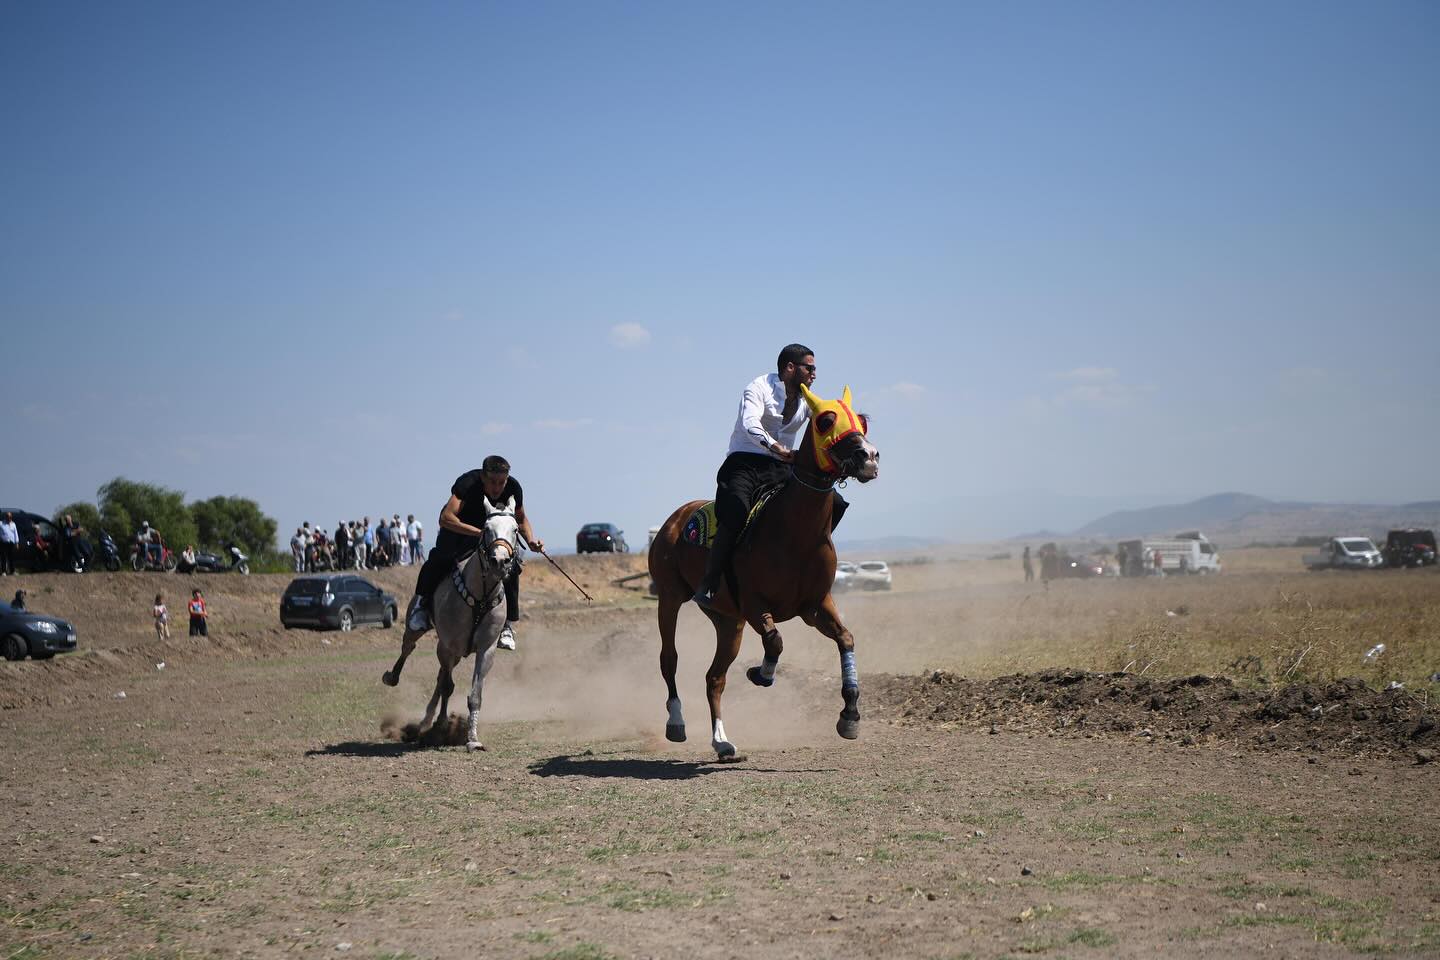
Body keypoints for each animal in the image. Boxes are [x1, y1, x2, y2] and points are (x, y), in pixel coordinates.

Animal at [650, 382, 875, 759]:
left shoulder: (814, 606)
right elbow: (776, 640)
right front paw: (761, 673)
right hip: (669, 598)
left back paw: (722, 741)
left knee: (715, 677)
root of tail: (677, 518)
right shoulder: (756, 605)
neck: (794, 532)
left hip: (728, 622)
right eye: (826, 421)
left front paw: (850, 716)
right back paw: (676, 722)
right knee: (670, 659)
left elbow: (846, 638)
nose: (869, 456)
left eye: (862, 422)